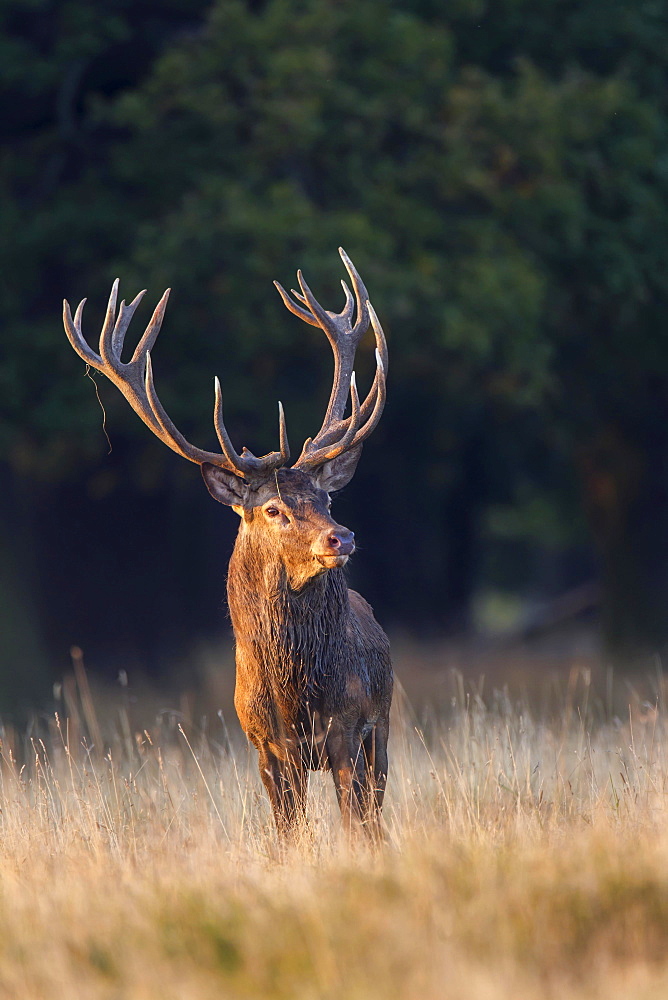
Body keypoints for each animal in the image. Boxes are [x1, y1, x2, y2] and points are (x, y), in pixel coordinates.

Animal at [62, 248, 392, 836]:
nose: (342, 537)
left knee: (376, 813)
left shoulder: (349, 728)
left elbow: (357, 828)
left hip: (384, 728)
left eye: (327, 499)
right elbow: (288, 836)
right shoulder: (265, 746)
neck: (295, 693)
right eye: (274, 508)